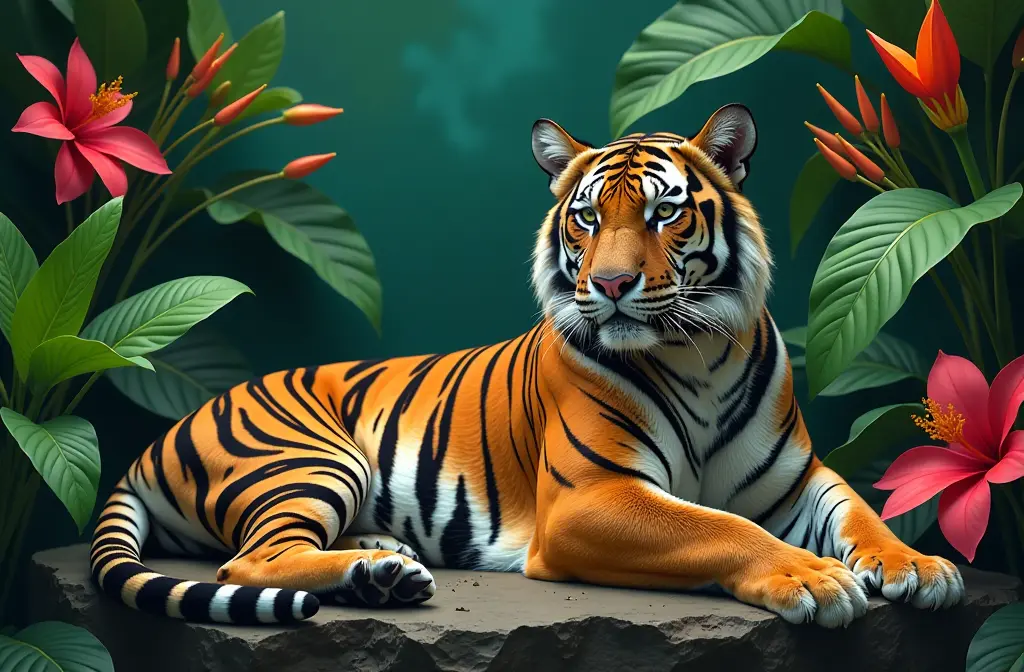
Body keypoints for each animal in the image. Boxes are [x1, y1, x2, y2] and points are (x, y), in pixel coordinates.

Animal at [90, 104, 965, 628]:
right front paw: (813, 580)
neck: (700, 350)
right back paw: (381, 576)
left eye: (664, 212)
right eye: (587, 218)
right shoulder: (591, 499)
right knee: (250, 558)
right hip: (310, 458)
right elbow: (722, 528)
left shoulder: (799, 477)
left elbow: (861, 514)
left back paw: (385, 565)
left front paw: (920, 567)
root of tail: (151, 443)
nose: (609, 285)